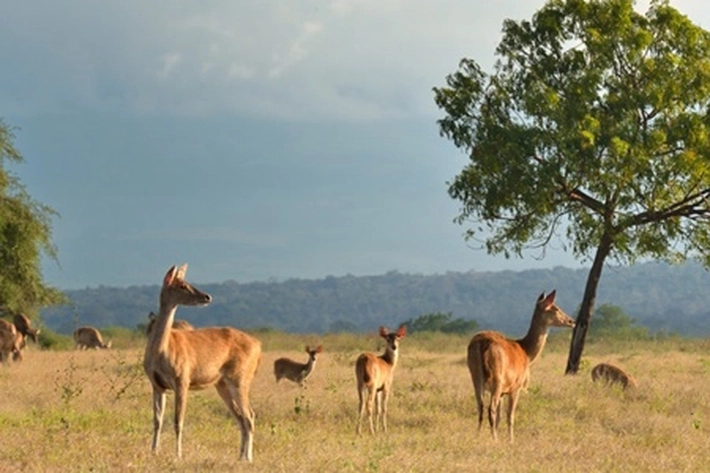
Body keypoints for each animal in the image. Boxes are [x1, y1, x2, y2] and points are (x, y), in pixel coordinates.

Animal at [143, 262, 262, 460]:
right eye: (182, 285)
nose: (207, 296)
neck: (160, 351)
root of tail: (259, 346)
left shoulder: (182, 379)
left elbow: (178, 420)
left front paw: (178, 455)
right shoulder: (157, 384)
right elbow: (157, 420)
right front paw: (154, 451)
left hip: (240, 378)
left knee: (250, 416)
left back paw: (248, 458)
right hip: (222, 384)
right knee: (240, 417)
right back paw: (240, 457)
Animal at [468, 290, 580, 440]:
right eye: (555, 308)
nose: (572, 321)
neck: (526, 352)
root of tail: (482, 344)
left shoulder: (504, 391)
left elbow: (500, 416)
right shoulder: (516, 386)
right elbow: (510, 416)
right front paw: (511, 440)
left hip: (475, 376)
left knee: (480, 406)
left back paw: (478, 436)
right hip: (497, 378)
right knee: (490, 408)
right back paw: (494, 440)